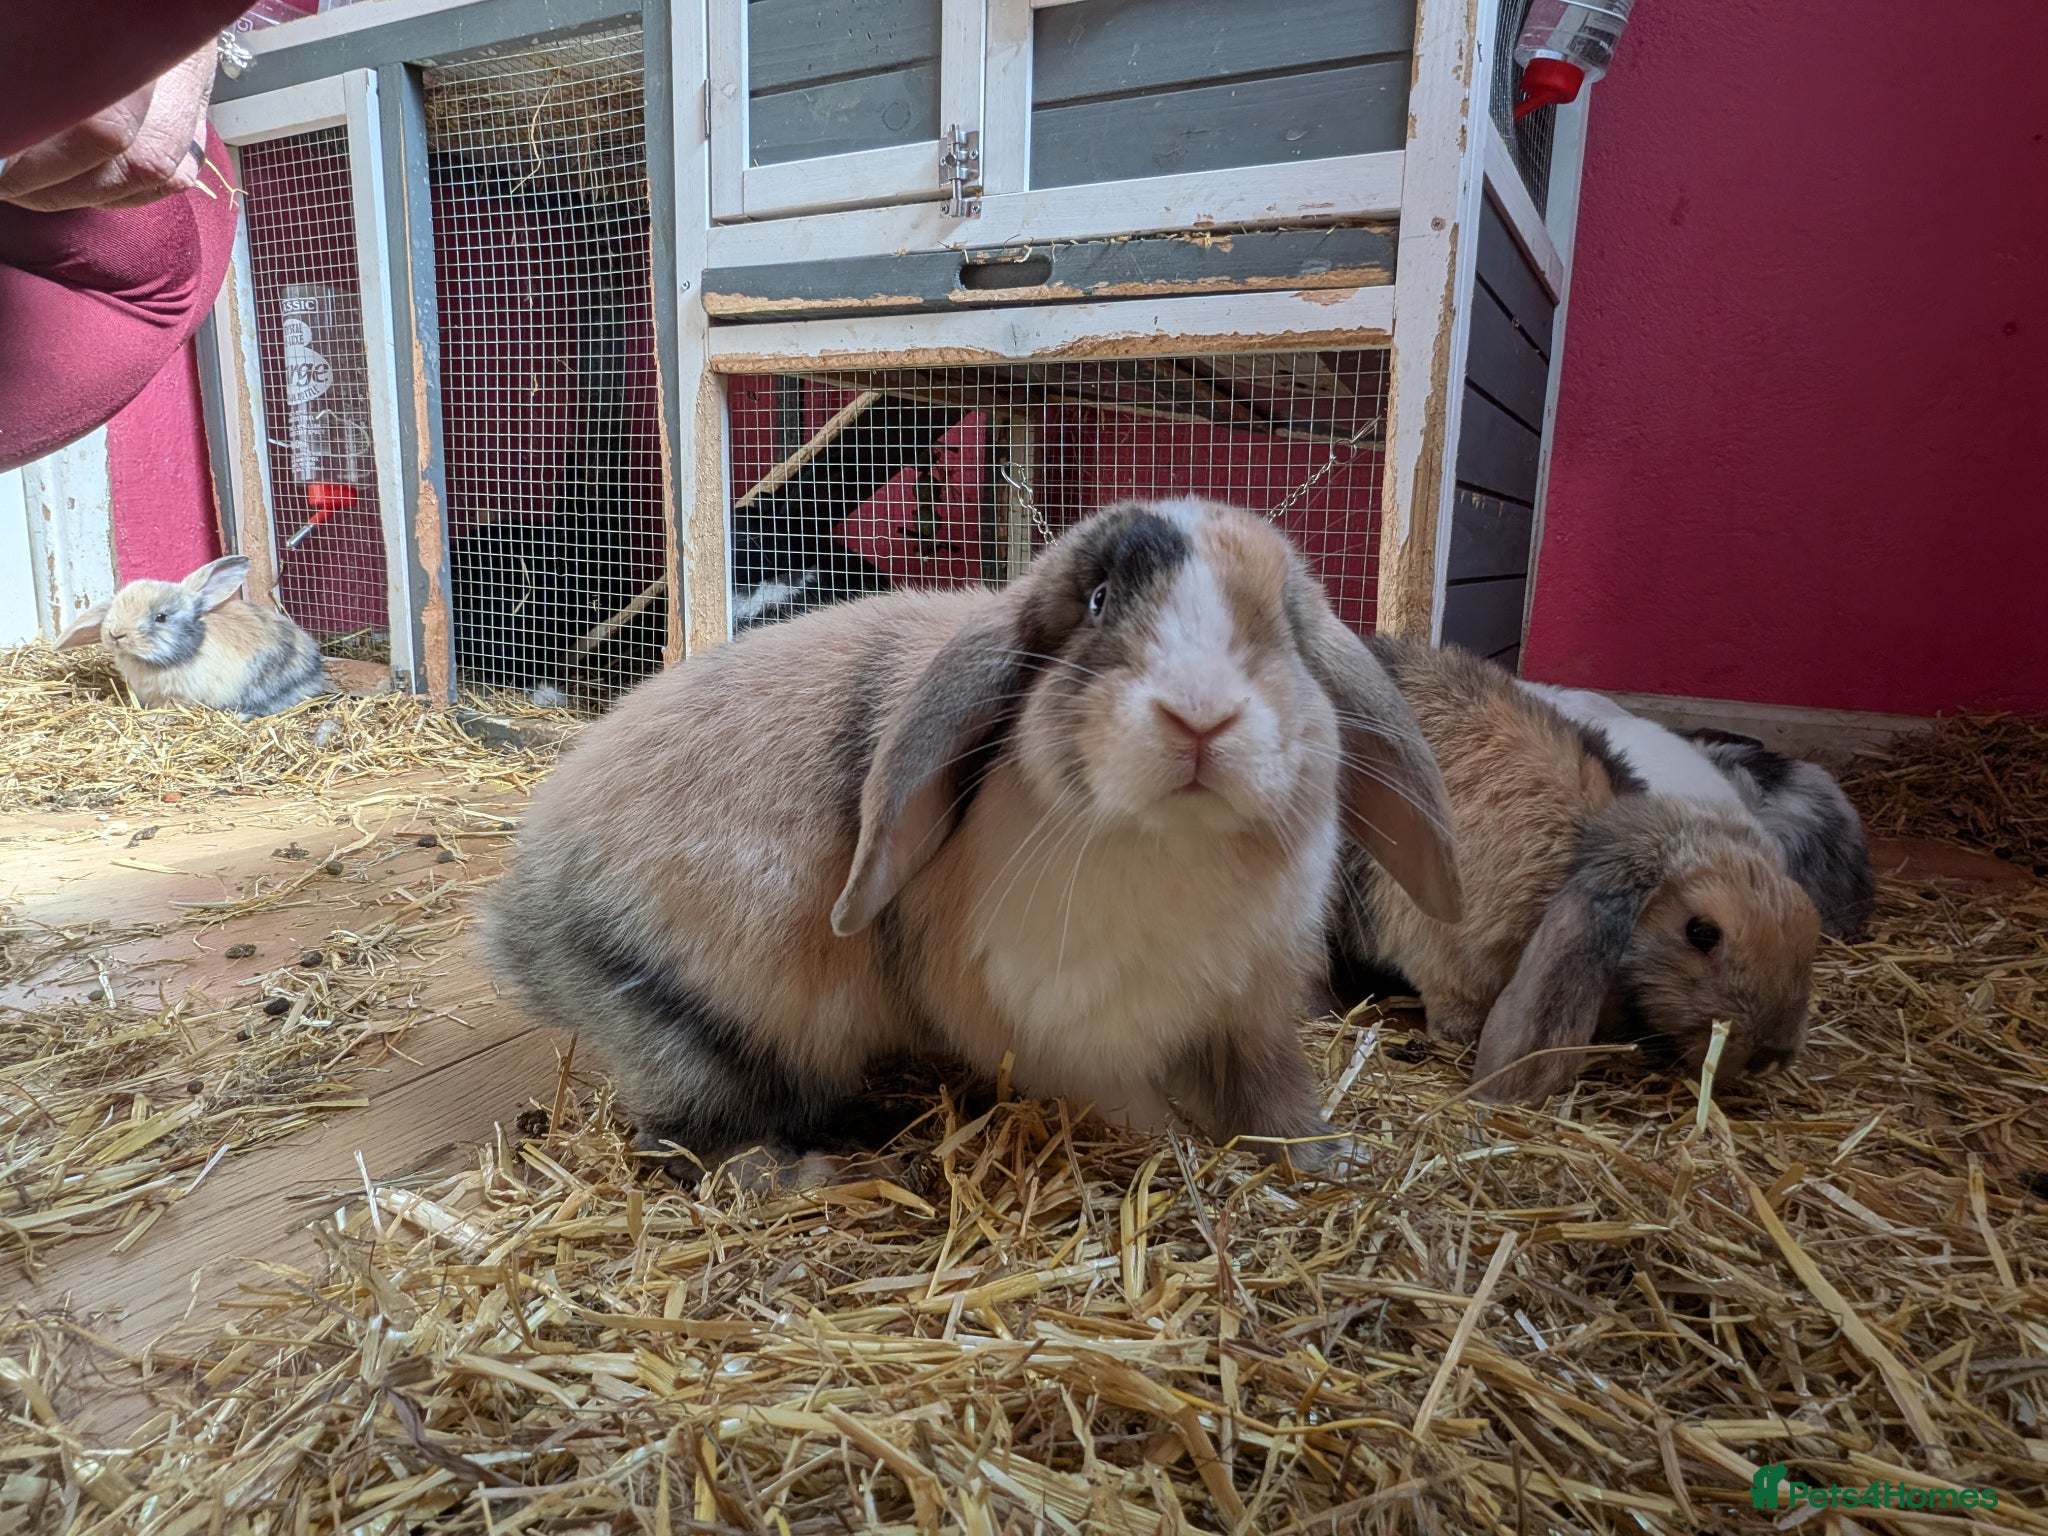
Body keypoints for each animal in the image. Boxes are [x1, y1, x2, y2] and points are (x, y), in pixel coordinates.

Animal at [484, 497, 1462, 1178]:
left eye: (1284, 625)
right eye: (1098, 602)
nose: (1201, 717)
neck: (1172, 850)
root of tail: (520, 920)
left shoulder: (1249, 1011)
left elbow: (1275, 1098)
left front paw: (1329, 1161)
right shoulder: (1064, 1033)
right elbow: (1133, 1104)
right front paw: (1168, 1148)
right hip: (698, 1034)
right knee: (681, 1141)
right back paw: (794, 1172)